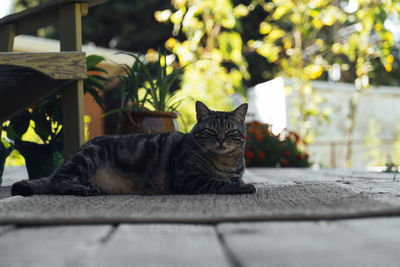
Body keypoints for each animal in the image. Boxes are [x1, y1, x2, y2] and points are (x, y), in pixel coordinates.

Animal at [11, 102, 256, 197]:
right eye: (211, 132)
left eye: (231, 132)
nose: (221, 141)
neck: (224, 162)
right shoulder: (187, 178)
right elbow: (218, 182)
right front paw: (244, 187)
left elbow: (232, 179)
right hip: (88, 158)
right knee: (57, 182)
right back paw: (83, 189)